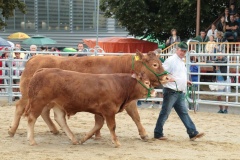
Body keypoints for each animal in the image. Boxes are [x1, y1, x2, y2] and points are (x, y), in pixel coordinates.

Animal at [8, 51, 168, 139]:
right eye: (155, 64)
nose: (167, 77)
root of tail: (35, 58)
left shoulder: (127, 99)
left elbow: (135, 115)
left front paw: (143, 133)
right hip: (29, 96)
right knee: (19, 107)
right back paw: (12, 130)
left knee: (44, 112)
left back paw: (54, 129)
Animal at [24, 68, 156, 147]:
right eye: (147, 82)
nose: (154, 92)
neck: (119, 85)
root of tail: (43, 70)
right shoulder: (108, 111)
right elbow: (112, 126)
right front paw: (116, 142)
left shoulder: (100, 112)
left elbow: (98, 125)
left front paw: (84, 138)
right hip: (38, 102)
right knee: (31, 118)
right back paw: (31, 140)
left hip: (57, 104)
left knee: (59, 119)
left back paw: (74, 139)